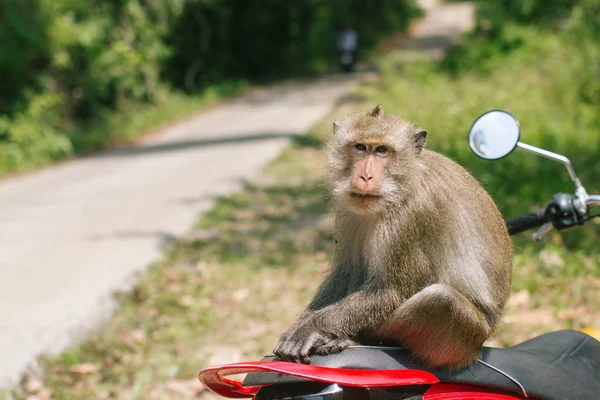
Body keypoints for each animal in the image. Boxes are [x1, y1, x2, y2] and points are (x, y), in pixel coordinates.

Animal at [272, 104, 510, 368]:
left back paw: (353, 337)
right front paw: (303, 321)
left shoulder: (412, 215)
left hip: (462, 341)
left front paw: (311, 328)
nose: (365, 177)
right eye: (360, 147)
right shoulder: (347, 211)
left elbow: (393, 291)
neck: (399, 186)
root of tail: (479, 348)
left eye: (382, 150)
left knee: (440, 299)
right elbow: (345, 272)